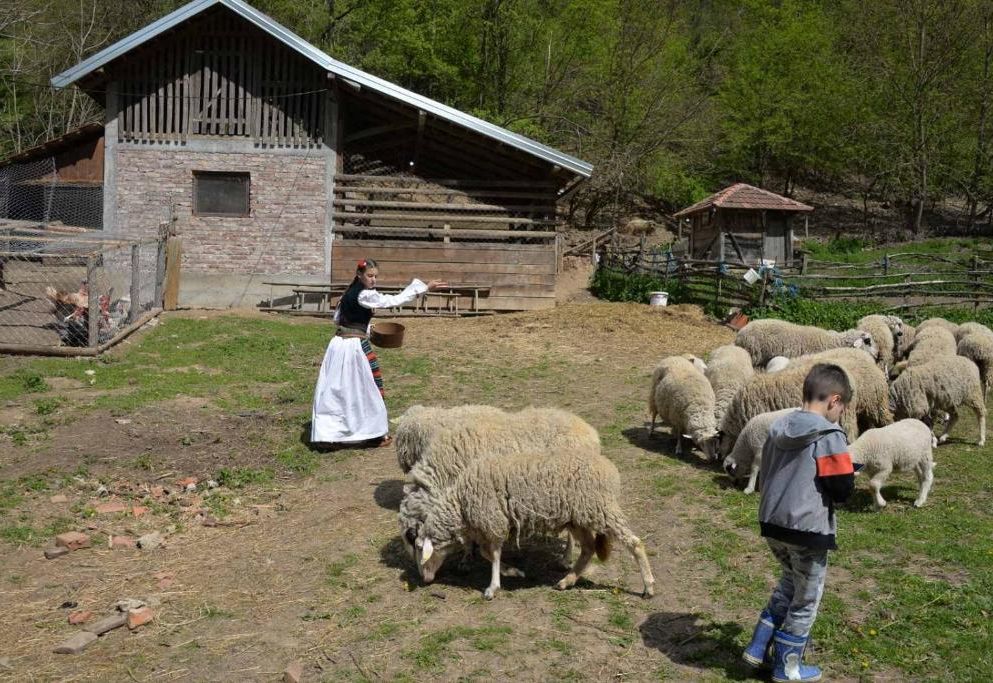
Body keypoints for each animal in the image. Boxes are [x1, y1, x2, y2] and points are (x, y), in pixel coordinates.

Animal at [414, 448, 656, 600]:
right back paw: (566, 581)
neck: (461, 504)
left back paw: (648, 586)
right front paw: (512, 572)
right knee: (588, 549)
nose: (424, 579)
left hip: (601, 510)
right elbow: (487, 554)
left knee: (634, 543)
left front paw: (493, 587)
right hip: (578, 518)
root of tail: (609, 469)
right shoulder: (486, 527)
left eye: (421, 551)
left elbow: (493, 555)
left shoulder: (494, 522)